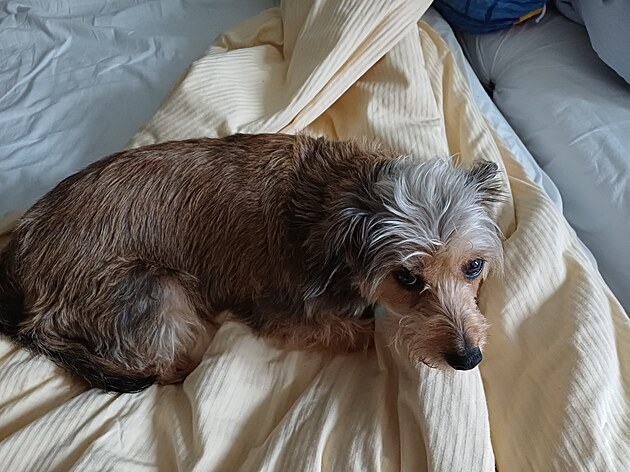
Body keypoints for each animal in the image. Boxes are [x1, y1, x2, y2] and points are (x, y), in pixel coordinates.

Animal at [0, 133, 503, 393]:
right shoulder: (282, 313)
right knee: (163, 366)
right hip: (158, 289)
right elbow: (354, 332)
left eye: (473, 267)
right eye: (406, 277)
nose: (469, 358)